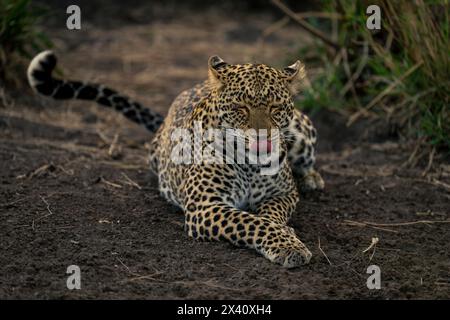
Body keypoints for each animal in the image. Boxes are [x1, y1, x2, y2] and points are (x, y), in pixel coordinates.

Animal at [27, 50, 324, 268]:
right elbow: (254, 222)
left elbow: (271, 215)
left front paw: (286, 234)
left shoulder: (284, 193)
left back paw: (312, 179)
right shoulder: (204, 206)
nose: (264, 139)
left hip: (301, 129)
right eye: (241, 107)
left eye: (275, 107)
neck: (251, 164)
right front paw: (287, 244)